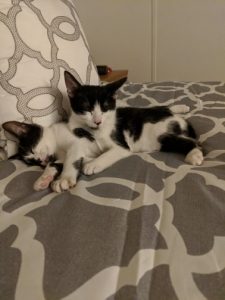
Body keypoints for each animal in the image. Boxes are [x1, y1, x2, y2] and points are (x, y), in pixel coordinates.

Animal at [3, 70, 204, 192]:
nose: (40, 161)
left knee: (190, 140)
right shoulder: (62, 154)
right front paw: (44, 178)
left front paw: (71, 174)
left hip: (157, 133)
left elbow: (76, 157)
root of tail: (179, 121)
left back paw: (194, 152)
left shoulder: (112, 144)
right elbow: (56, 164)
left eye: (32, 149)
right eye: (30, 160)